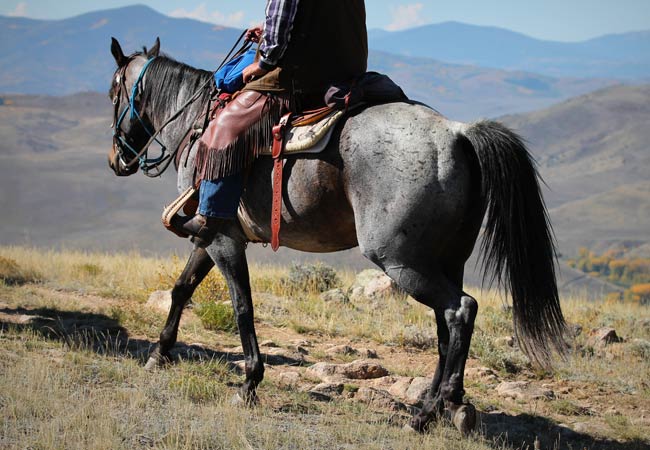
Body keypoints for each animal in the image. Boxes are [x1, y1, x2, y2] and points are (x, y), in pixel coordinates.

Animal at [106, 39, 560, 436]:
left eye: (113, 92)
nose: (116, 159)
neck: (196, 122)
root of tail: (458, 133)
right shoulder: (210, 236)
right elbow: (182, 288)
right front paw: (159, 353)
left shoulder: (223, 240)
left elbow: (242, 306)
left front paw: (249, 383)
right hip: (446, 260)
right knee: (446, 329)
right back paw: (445, 409)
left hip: (401, 261)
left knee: (460, 311)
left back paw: (434, 411)